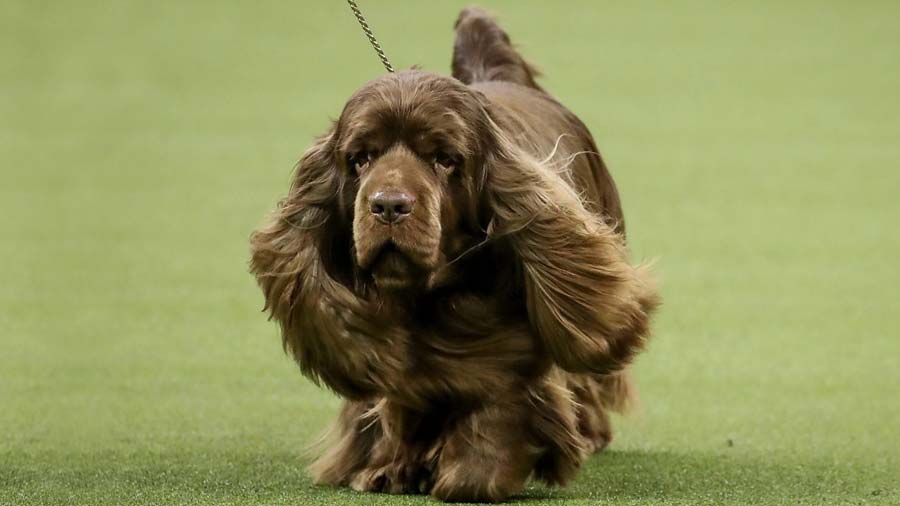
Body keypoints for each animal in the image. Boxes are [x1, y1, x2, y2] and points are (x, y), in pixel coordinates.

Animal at [250, 6, 656, 502]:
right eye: (360, 158)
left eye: (444, 159)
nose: (388, 205)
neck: (425, 296)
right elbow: (397, 397)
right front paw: (391, 467)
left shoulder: (509, 349)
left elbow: (499, 399)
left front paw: (475, 474)